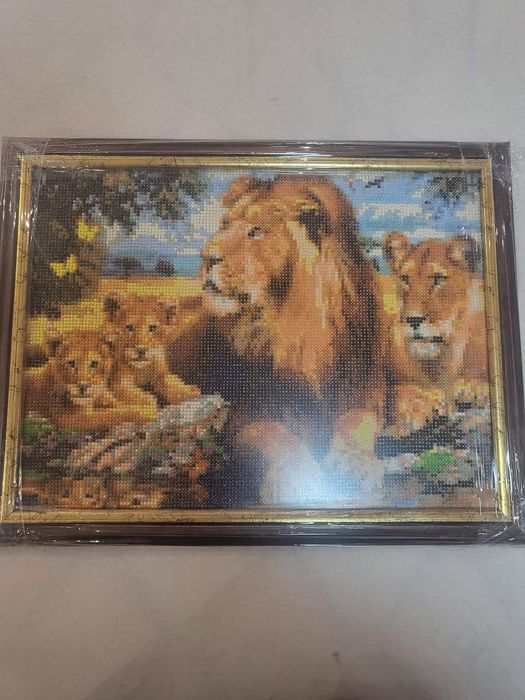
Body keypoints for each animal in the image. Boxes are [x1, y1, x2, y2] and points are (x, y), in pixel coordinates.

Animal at [170, 175, 387, 504]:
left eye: (255, 231)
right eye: (225, 225)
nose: (205, 257)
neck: (299, 334)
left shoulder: (364, 387)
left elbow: (356, 421)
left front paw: (358, 468)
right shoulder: (244, 408)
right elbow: (276, 437)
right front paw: (301, 482)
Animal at [383, 231, 490, 435]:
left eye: (438, 278)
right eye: (405, 279)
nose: (413, 320)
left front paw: (471, 389)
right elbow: (397, 391)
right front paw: (418, 406)